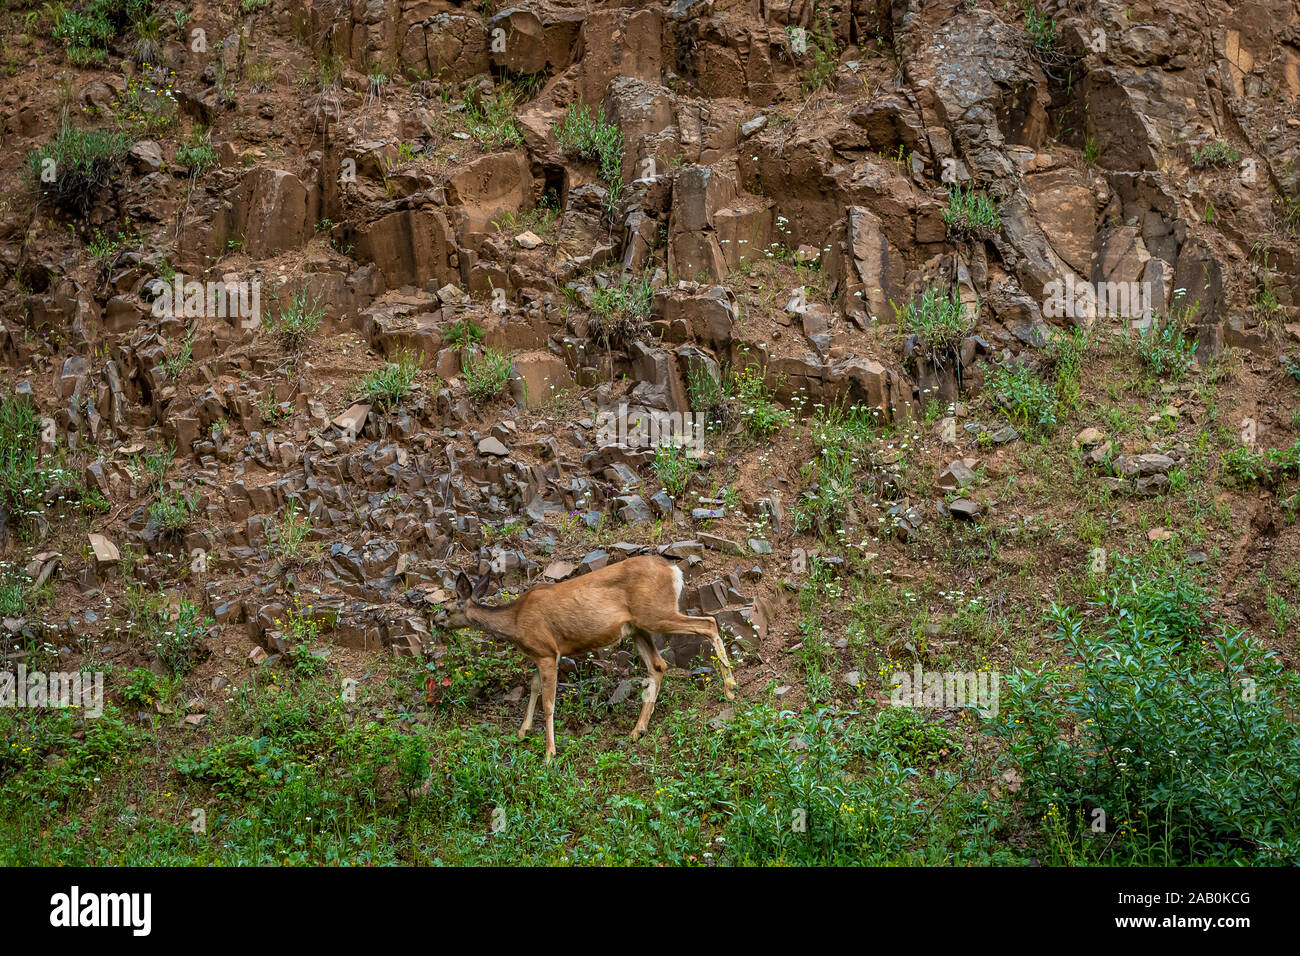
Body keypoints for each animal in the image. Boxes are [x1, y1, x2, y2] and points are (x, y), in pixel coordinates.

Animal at [438, 555, 737, 761]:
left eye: (447, 609)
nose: (435, 621)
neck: (515, 621)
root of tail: (675, 571)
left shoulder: (547, 651)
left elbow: (549, 702)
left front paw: (549, 753)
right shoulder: (541, 653)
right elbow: (533, 686)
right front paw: (523, 731)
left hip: (655, 613)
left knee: (709, 623)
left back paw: (730, 689)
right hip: (638, 627)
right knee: (658, 665)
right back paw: (637, 730)